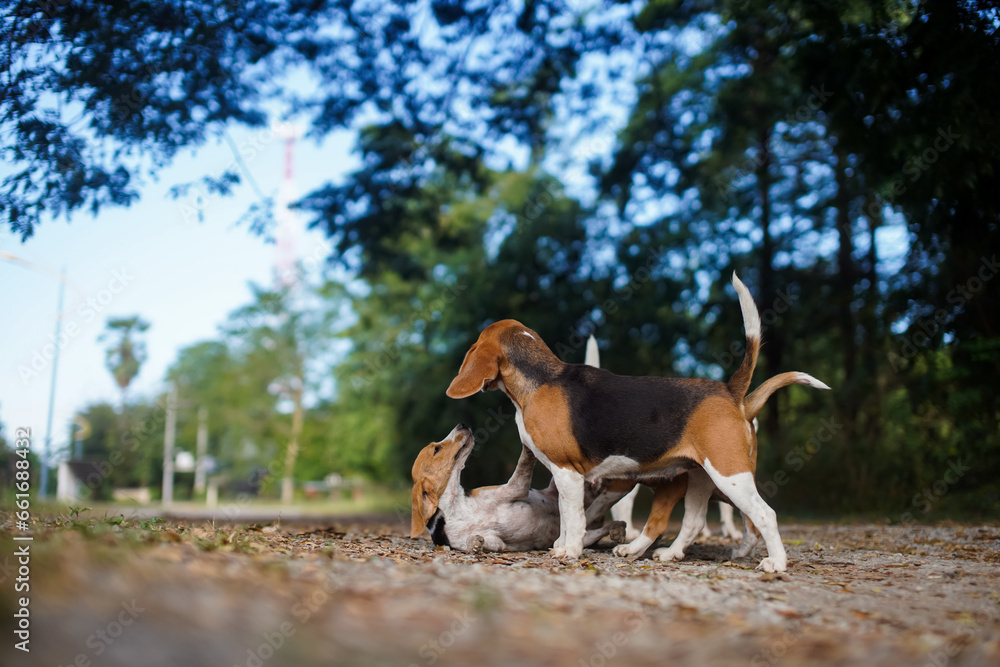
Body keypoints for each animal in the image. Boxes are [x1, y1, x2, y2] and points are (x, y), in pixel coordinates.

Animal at [410, 424, 626, 552]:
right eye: (437, 449)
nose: (461, 424)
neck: (456, 507)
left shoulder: (513, 490)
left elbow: (523, 461)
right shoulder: (497, 541)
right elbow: (481, 542)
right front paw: (474, 543)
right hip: (582, 534)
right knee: (596, 531)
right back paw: (616, 529)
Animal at [446, 273, 829, 571]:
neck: (541, 377)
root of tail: (731, 392)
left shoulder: (567, 473)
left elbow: (573, 517)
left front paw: (568, 550)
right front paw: (564, 545)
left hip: (730, 475)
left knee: (764, 515)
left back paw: (776, 562)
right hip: (699, 478)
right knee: (693, 522)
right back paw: (669, 554)